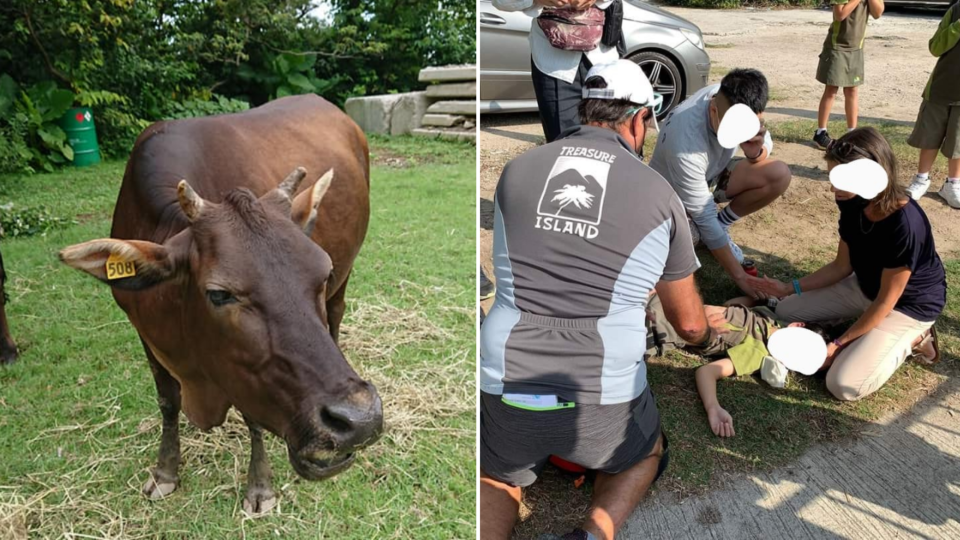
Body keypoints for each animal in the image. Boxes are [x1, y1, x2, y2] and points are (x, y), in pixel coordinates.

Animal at [58, 96, 382, 516]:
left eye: (322, 271)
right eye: (219, 294)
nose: (360, 419)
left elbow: (252, 416)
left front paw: (260, 486)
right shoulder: (144, 333)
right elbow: (167, 401)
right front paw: (165, 472)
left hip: (346, 275)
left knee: (337, 316)